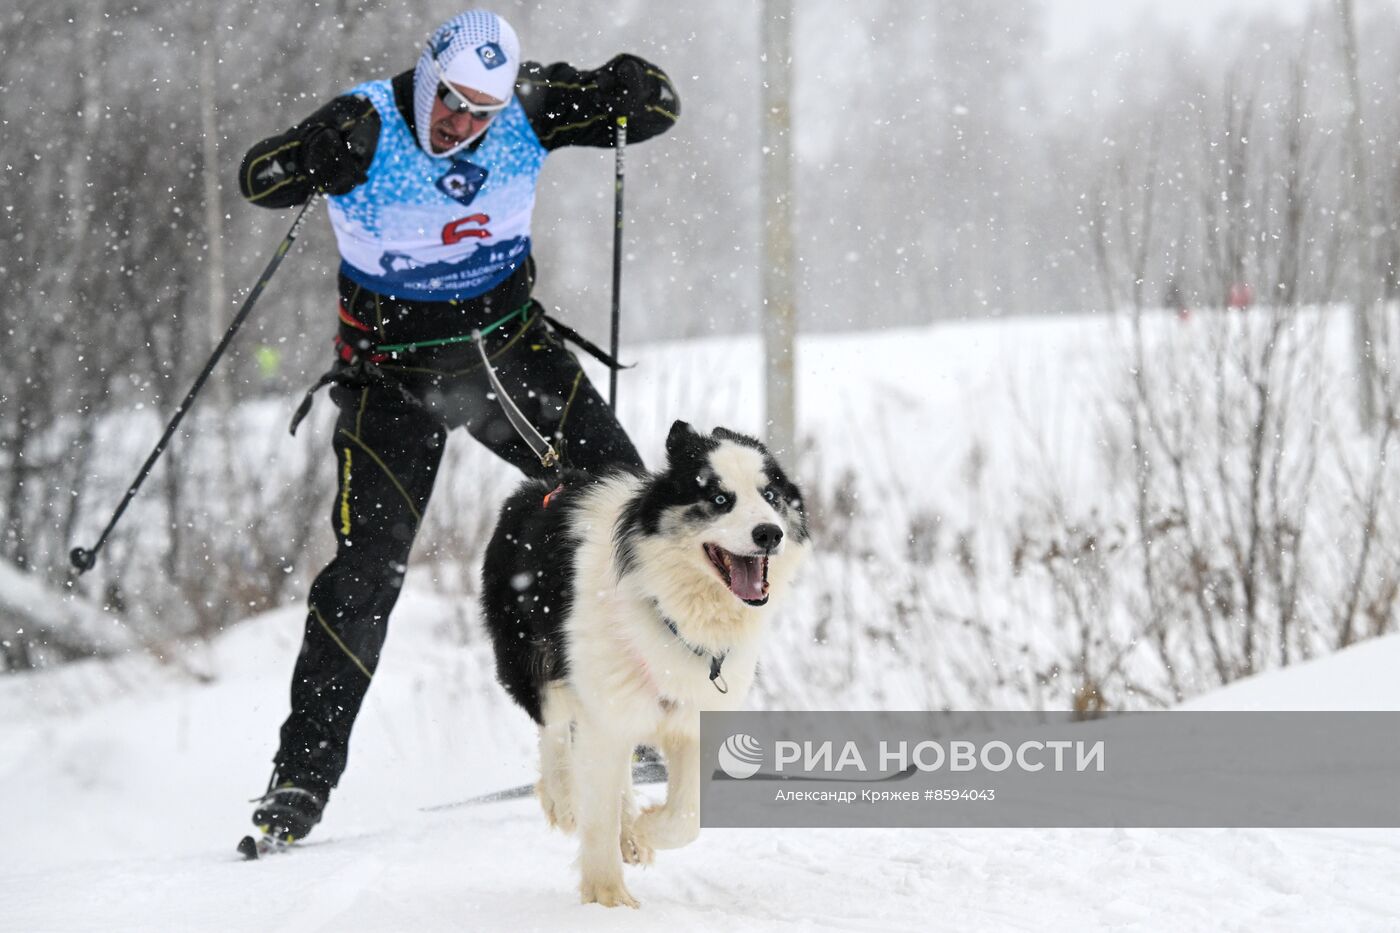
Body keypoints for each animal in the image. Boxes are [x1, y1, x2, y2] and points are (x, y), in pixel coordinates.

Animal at [481, 417, 812, 902]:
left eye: (770, 496)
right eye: (719, 499)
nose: (770, 533)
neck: (669, 609)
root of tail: (543, 483)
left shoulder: (694, 720)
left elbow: (687, 818)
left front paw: (642, 832)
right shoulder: (604, 712)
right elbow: (597, 816)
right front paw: (608, 900)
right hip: (533, 662)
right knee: (554, 725)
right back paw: (563, 798)